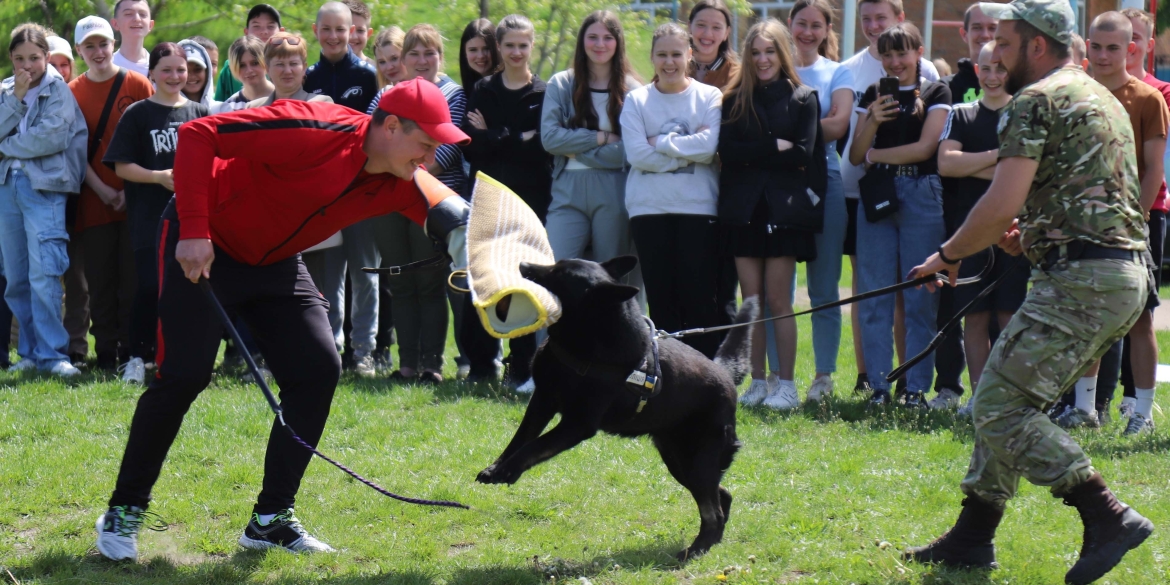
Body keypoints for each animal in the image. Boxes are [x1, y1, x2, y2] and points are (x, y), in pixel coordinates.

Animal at [477, 258, 758, 559]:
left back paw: (694, 551)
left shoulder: (577, 425)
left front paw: (508, 471)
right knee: (722, 495)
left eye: (560, 272)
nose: (523, 264)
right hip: (680, 462)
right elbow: (519, 439)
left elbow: (534, 446)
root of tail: (726, 376)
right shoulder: (542, 401)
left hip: (696, 461)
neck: (588, 339)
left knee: (712, 511)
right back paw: (709, 544)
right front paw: (495, 468)